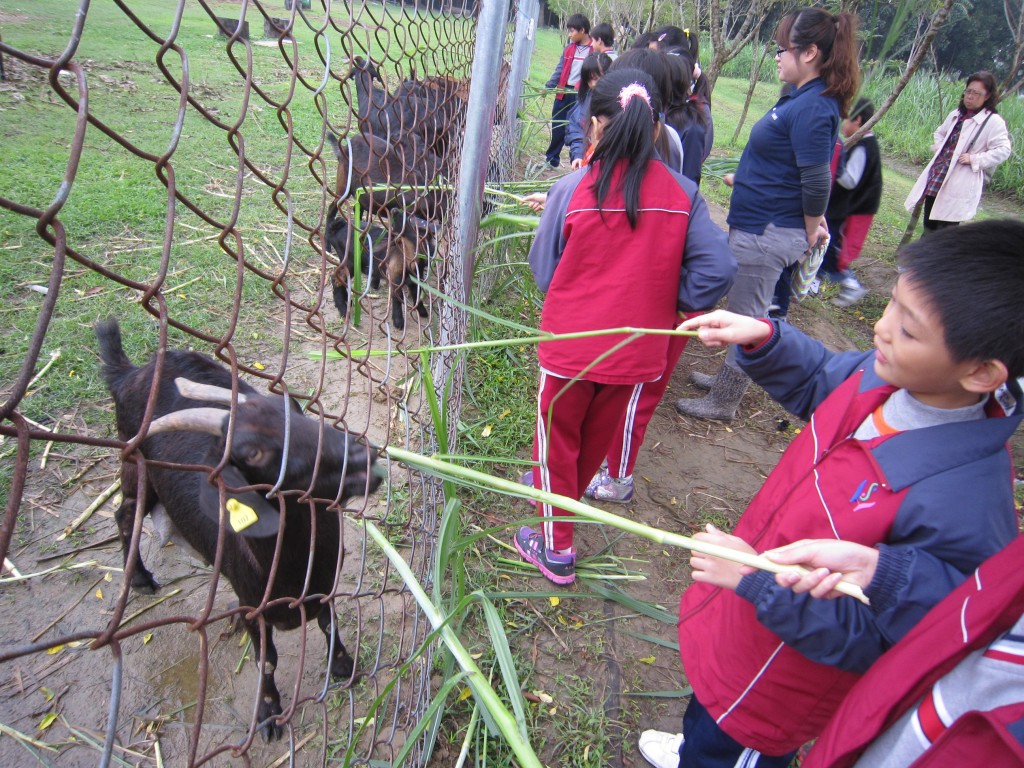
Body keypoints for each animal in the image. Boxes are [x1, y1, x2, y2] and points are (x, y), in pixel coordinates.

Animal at [96, 319, 382, 741]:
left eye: (297, 413)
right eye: (252, 452)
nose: (361, 455)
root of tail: (130, 373)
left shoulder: (324, 581)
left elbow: (329, 623)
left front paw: (344, 666)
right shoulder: (251, 604)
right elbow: (268, 659)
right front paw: (268, 714)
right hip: (135, 466)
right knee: (125, 513)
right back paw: (142, 580)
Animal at [327, 201, 436, 331]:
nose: (394, 210)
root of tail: (337, 227)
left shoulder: (414, 279)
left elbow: (417, 293)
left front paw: (422, 312)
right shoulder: (394, 275)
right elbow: (397, 297)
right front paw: (398, 322)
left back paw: (347, 302)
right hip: (350, 262)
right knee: (336, 279)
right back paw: (343, 310)